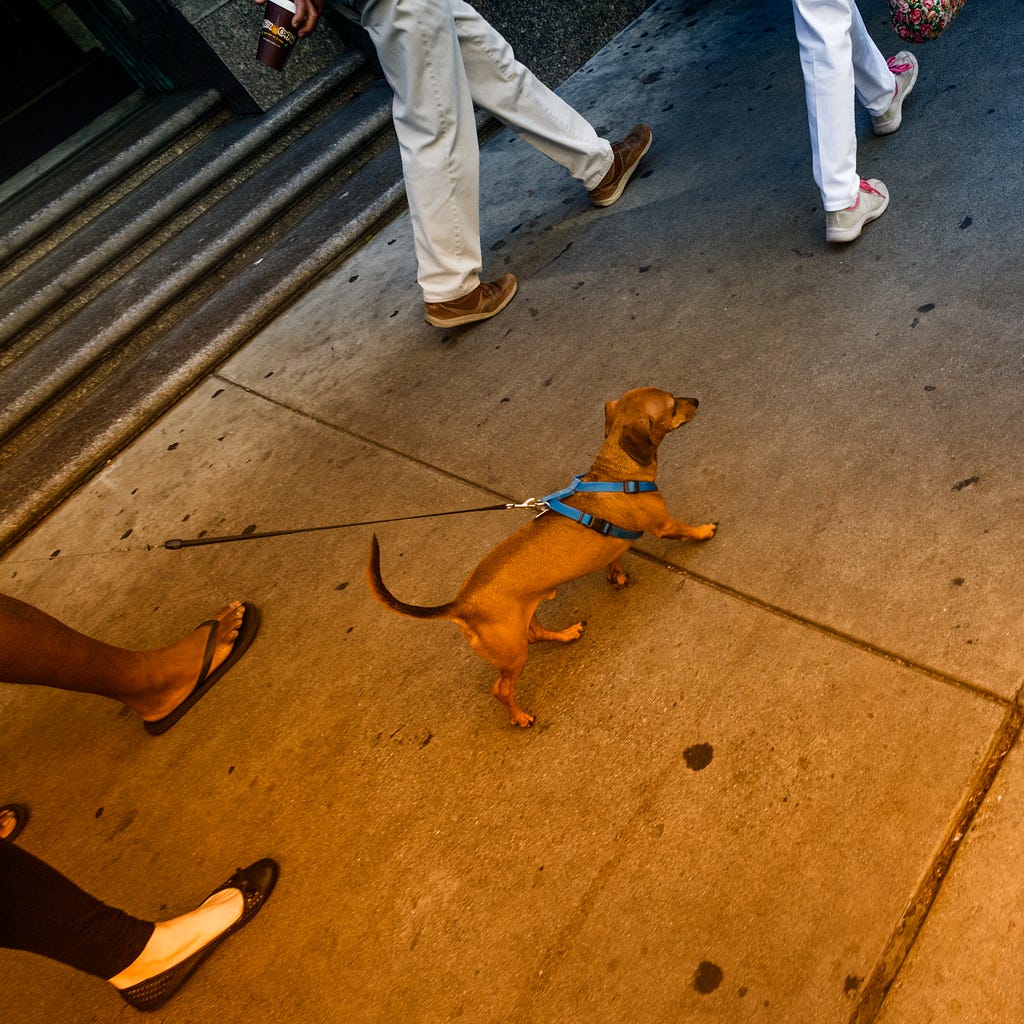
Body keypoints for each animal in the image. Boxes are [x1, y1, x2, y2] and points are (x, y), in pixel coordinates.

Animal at [370, 385, 720, 729]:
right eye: (672, 404)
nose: (697, 400)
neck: (617, 471)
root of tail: (462, 604)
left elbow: (614, 558)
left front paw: (616, 574)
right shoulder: (665, 526)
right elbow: (685, 530)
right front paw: (703, 531)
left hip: (525, 619)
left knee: (537, 635)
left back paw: (565, 634)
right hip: (512, 653)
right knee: (501, 689)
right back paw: (519, 717)